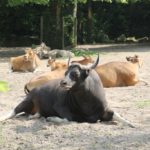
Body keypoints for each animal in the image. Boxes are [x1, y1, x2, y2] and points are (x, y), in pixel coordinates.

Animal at [0, 55, 134, 127]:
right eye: (65, 73)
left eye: (75, 74)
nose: (62, 83)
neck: (88, 103)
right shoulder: (60, 107)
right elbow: (68, 119)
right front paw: (51, 118)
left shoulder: (105, 110)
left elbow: (117, 115)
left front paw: (131, 123)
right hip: (27, 101)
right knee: (14, 111)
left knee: (33, 113)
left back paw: (35, 116)